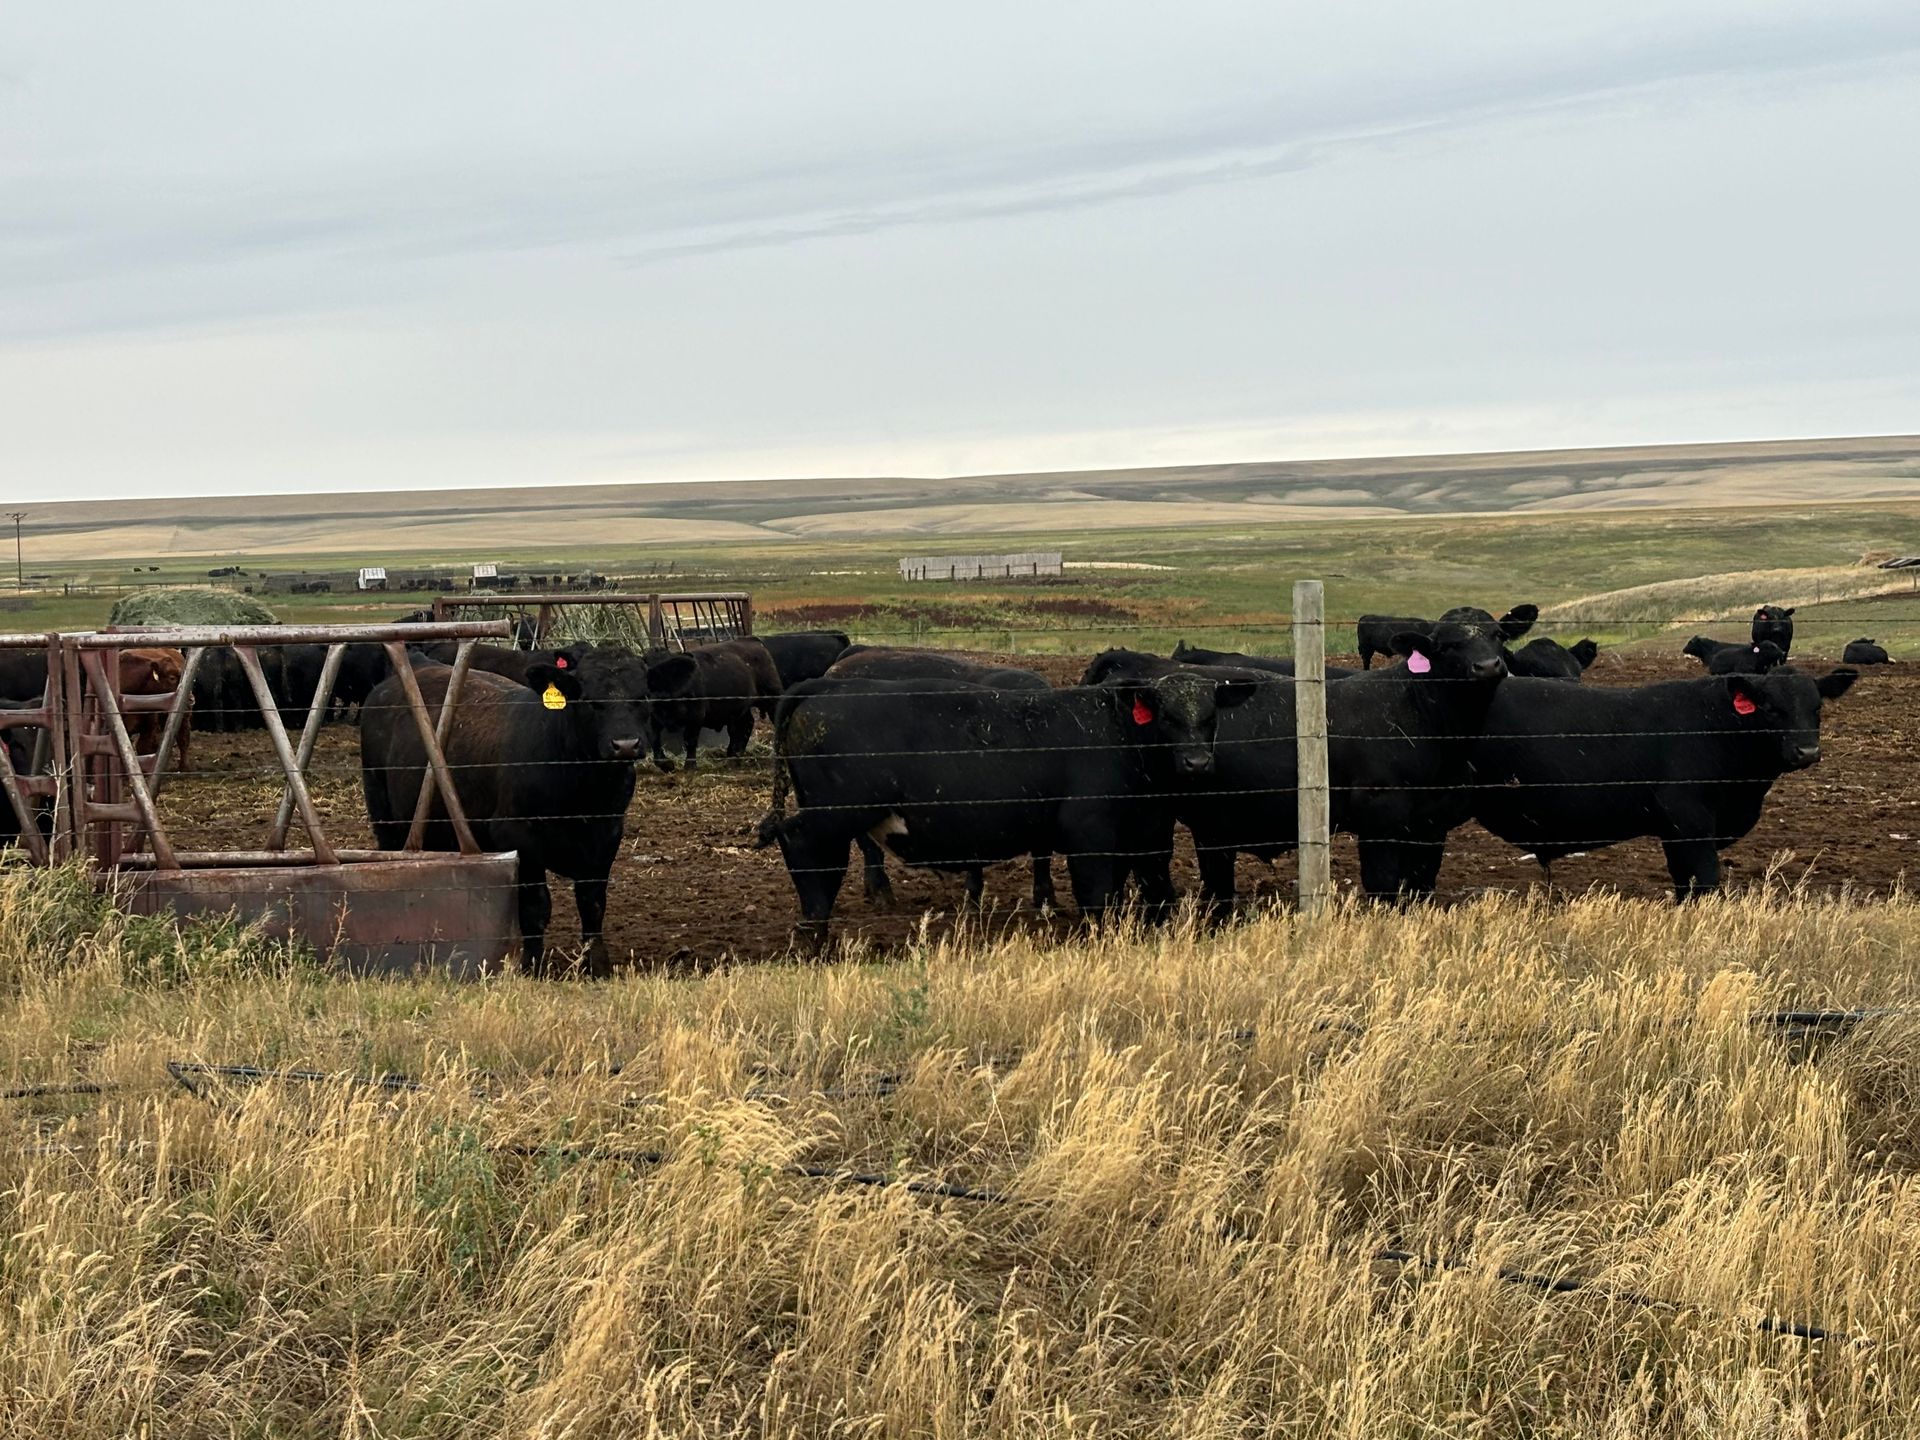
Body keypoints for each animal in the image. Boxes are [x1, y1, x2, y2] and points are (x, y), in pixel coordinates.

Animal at [359, 651, 654, 976]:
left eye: (643, 696)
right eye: (589, 700)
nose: (625, 745)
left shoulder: (606, 835)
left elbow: (593, 904)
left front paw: (597, 965)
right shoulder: (519, 837)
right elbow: (535, 907)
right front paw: (533, 966)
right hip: (383, 813)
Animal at [644, 638, 782, 771]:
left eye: (669, 671)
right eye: (647, 674)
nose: (656, 694)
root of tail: (753, 640)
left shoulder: (696, 716)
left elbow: (690, 740)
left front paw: (690, 765)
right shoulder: (654, 716)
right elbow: (653, 738)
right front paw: (665, 764)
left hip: (773, 697)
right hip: (739, 708)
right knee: (745, 724)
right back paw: (734, 757)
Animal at [757, 670, 1256, 948]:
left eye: (1210, 716)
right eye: (1167, 716)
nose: (1197, 762)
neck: (1120, 736)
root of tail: (828, 684)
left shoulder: (1140, 835)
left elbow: (1141, 889)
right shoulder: (1089, 833)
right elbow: (1097, 896)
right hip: (834, 814)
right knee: (805, 848)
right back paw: (815, 930)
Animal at [1469, 667, 1858, 899]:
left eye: (1817, 708)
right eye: (1771, 708)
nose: (1806, 751)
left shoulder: (1675, 832)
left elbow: (1682, 881)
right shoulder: (1690, 821)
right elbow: (1704, 877)